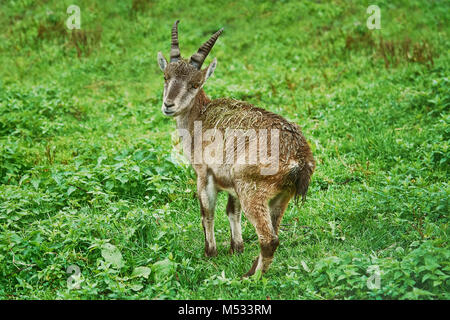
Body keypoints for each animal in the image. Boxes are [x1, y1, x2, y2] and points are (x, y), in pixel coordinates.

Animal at [156, 20, 314, 276]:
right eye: (165, 76)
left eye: (195, 83)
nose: (168, 105)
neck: (200, 117)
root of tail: (300, 159)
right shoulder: (231, 184)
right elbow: (232, 211)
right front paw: (236, 248)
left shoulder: (204, 174)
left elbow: (207, 212)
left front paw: (210, 252)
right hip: (280, 196)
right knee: (274, 230)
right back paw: (251, 270)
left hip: (251, 188)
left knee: (269, 239)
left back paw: (251, 278)